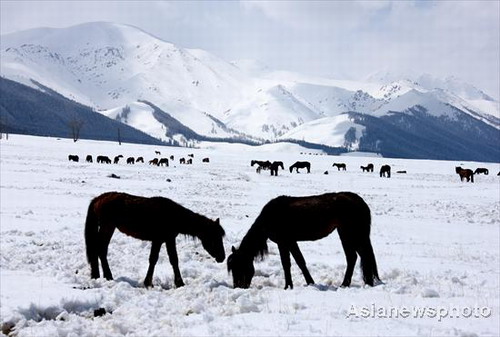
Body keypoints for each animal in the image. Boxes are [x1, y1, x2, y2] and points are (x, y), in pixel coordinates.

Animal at [85, 192, 226, 286]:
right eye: (215, 237)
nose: (222, 257)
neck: (173, 216)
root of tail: (99, 198)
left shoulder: (168, 240)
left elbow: (173, 260)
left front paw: (177, 283)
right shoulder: (159, 240)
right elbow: (154, 259)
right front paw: (149, 282)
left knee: (99, 250)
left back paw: (99, 276)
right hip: (108, 227)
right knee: (100, 250)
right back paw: (107, 276)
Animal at [229, 192, 380, 288]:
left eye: (239, 266)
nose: (238, 286)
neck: (270, 217)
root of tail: (359, 201)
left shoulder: (284, 242)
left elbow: (288, 264)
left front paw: (289, 286)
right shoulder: (290, 242)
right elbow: (299, 261)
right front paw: (308, 283)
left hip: (349, 234)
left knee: (355, 257)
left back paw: (347, 284)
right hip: (349, 234)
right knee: (358, 257)